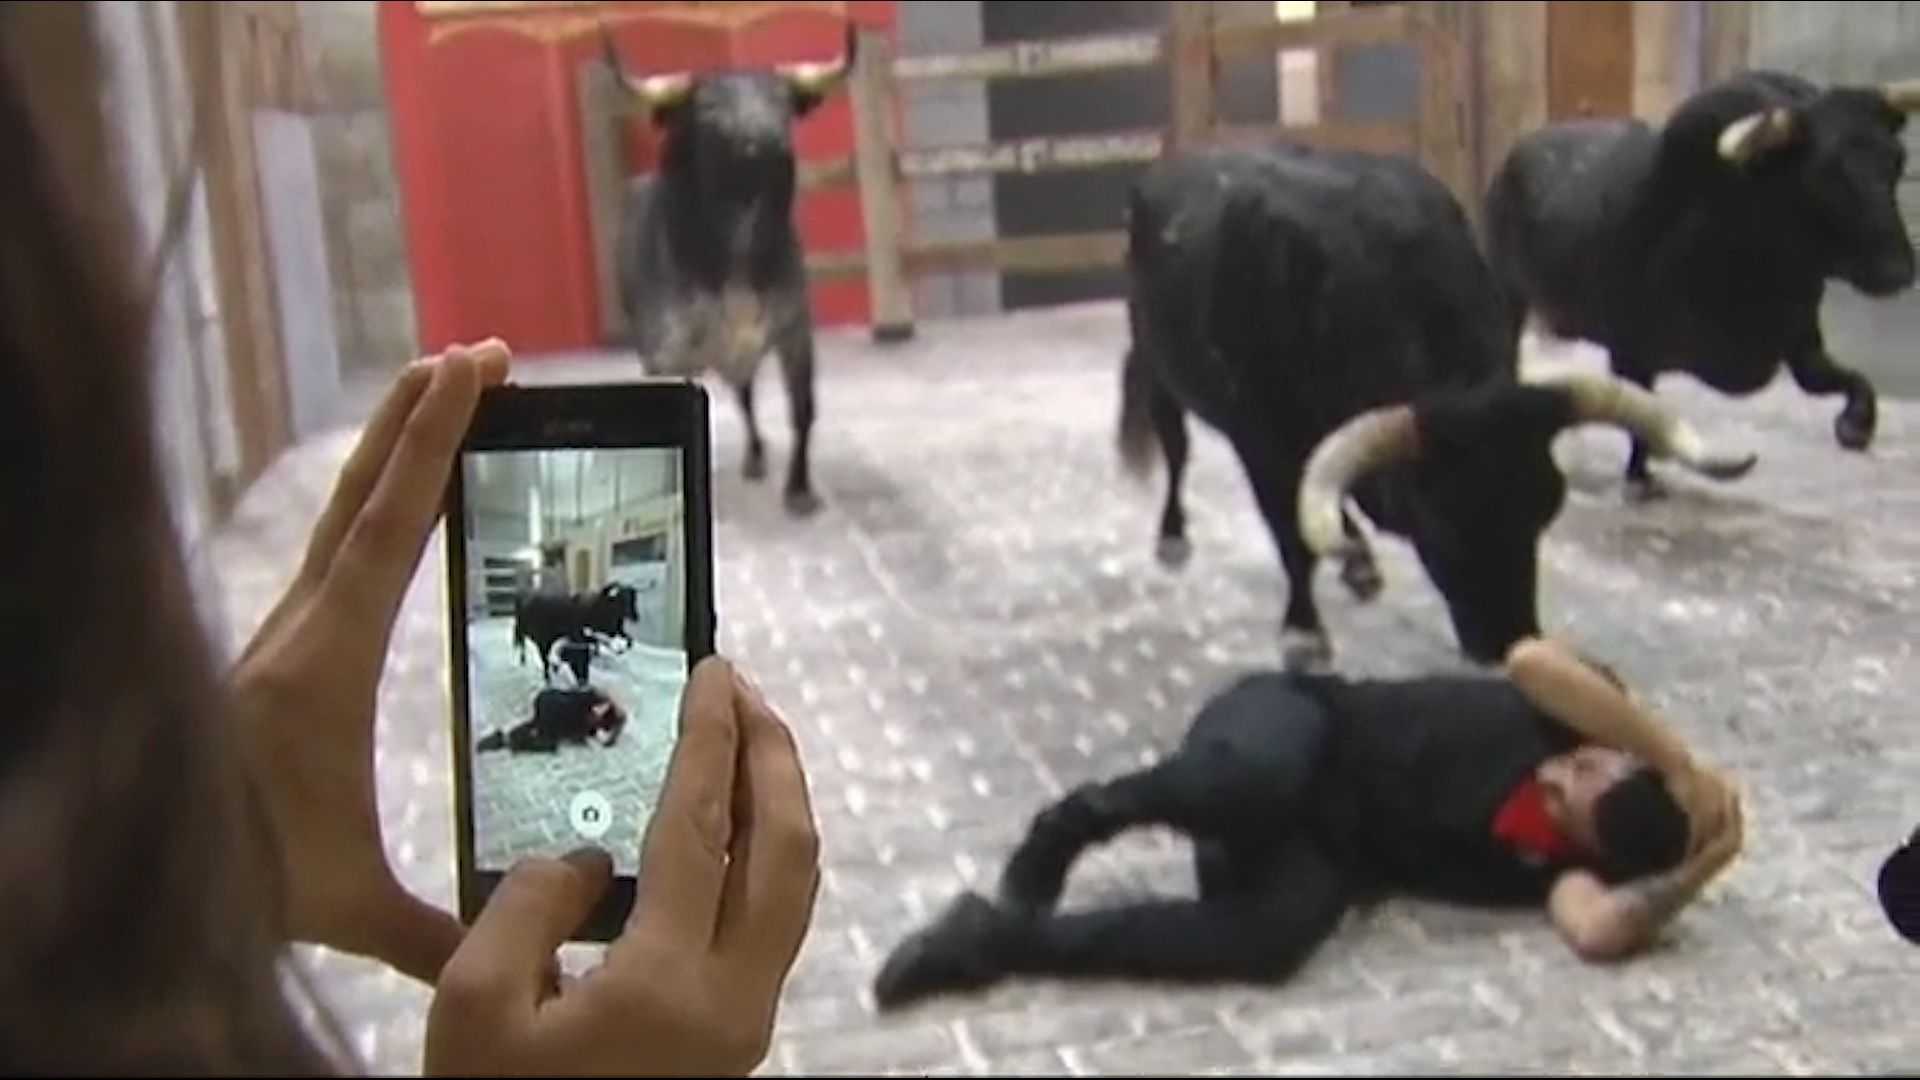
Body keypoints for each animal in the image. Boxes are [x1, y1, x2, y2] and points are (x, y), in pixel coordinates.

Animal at [1113, 138, 1758, 668]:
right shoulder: (1263, 442)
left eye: (1545, 507)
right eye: (1443, 525)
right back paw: (1173, 536)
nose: (1509, 645)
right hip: (1156, 363)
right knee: (1174, 446)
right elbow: (1292, 536)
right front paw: (1304, 632)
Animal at [1482, 71, 1920, 499]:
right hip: (1509, 296)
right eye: (1826, 173)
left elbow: (1844, 379)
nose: (1899, 270)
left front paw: (1856, 426)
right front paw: (1639, 477)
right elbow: (1644, 411)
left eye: (1896, 160)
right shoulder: (1630, 347)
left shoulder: (1800, 340)